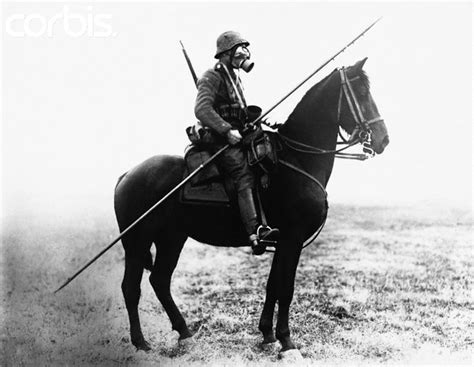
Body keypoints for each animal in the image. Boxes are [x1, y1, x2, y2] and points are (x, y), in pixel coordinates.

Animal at [114, 57, 388, 360]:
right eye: (361, 92)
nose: (383, 139)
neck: (298, 159)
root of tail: (127, 175)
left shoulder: (282, 242)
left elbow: (273, 285)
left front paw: (267, 335)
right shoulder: (292, 239)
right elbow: (286, 287)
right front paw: (287, 341)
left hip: (172, 238)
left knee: (160, 280)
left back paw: (185, 333)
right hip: (137, 240)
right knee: (131, 288)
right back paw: (141, 342)